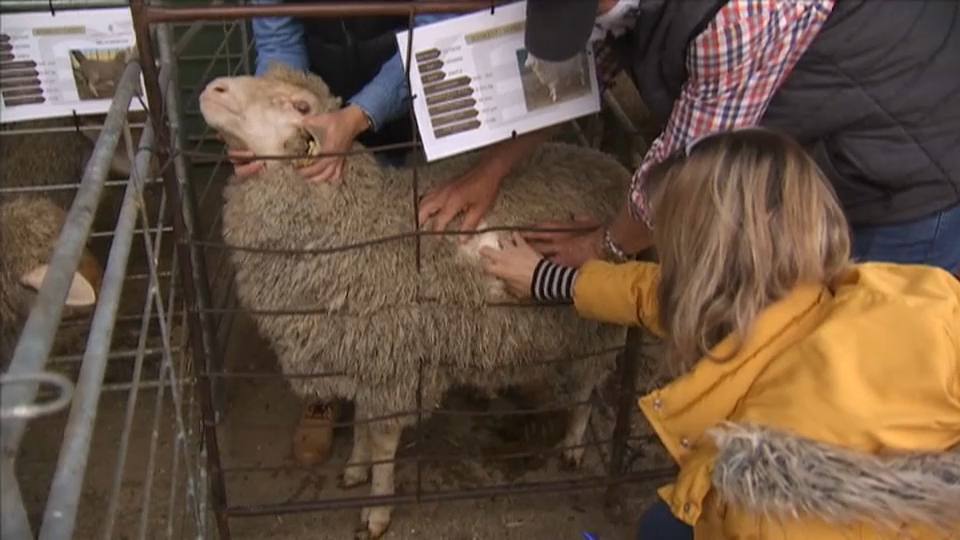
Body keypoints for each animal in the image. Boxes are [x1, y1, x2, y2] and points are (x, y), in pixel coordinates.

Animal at [196, 64, 632, 540]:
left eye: (301, 106)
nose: (212, 89)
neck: (359, 225)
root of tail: (610, 166)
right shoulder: (365, 357)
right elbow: (363, 424)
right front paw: (355, 468)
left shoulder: (394, 363)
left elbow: (383, 441)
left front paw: (377, 509)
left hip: (597, 325)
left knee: (587, 387)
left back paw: (574, 444)